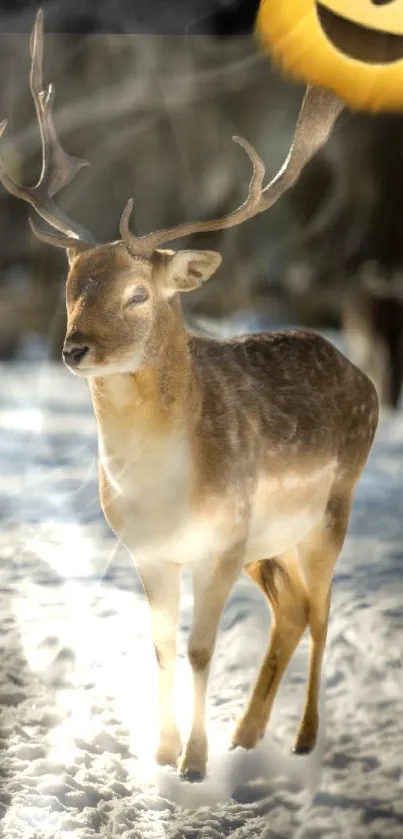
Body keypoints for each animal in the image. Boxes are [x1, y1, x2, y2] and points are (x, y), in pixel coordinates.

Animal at [0, 9, 378, 784]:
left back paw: (301, 740)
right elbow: (163, 645)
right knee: (292, 609)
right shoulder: (150, 550)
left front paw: (194, 764)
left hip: (332, 506)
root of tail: (364, 377)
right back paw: (248, 733)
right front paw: (162, 751)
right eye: (71, 286)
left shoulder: (221, 539)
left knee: (322, 611)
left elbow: (202, 648)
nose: (75, 348)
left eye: (138, 294)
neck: (163, 486)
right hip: (269, 541)